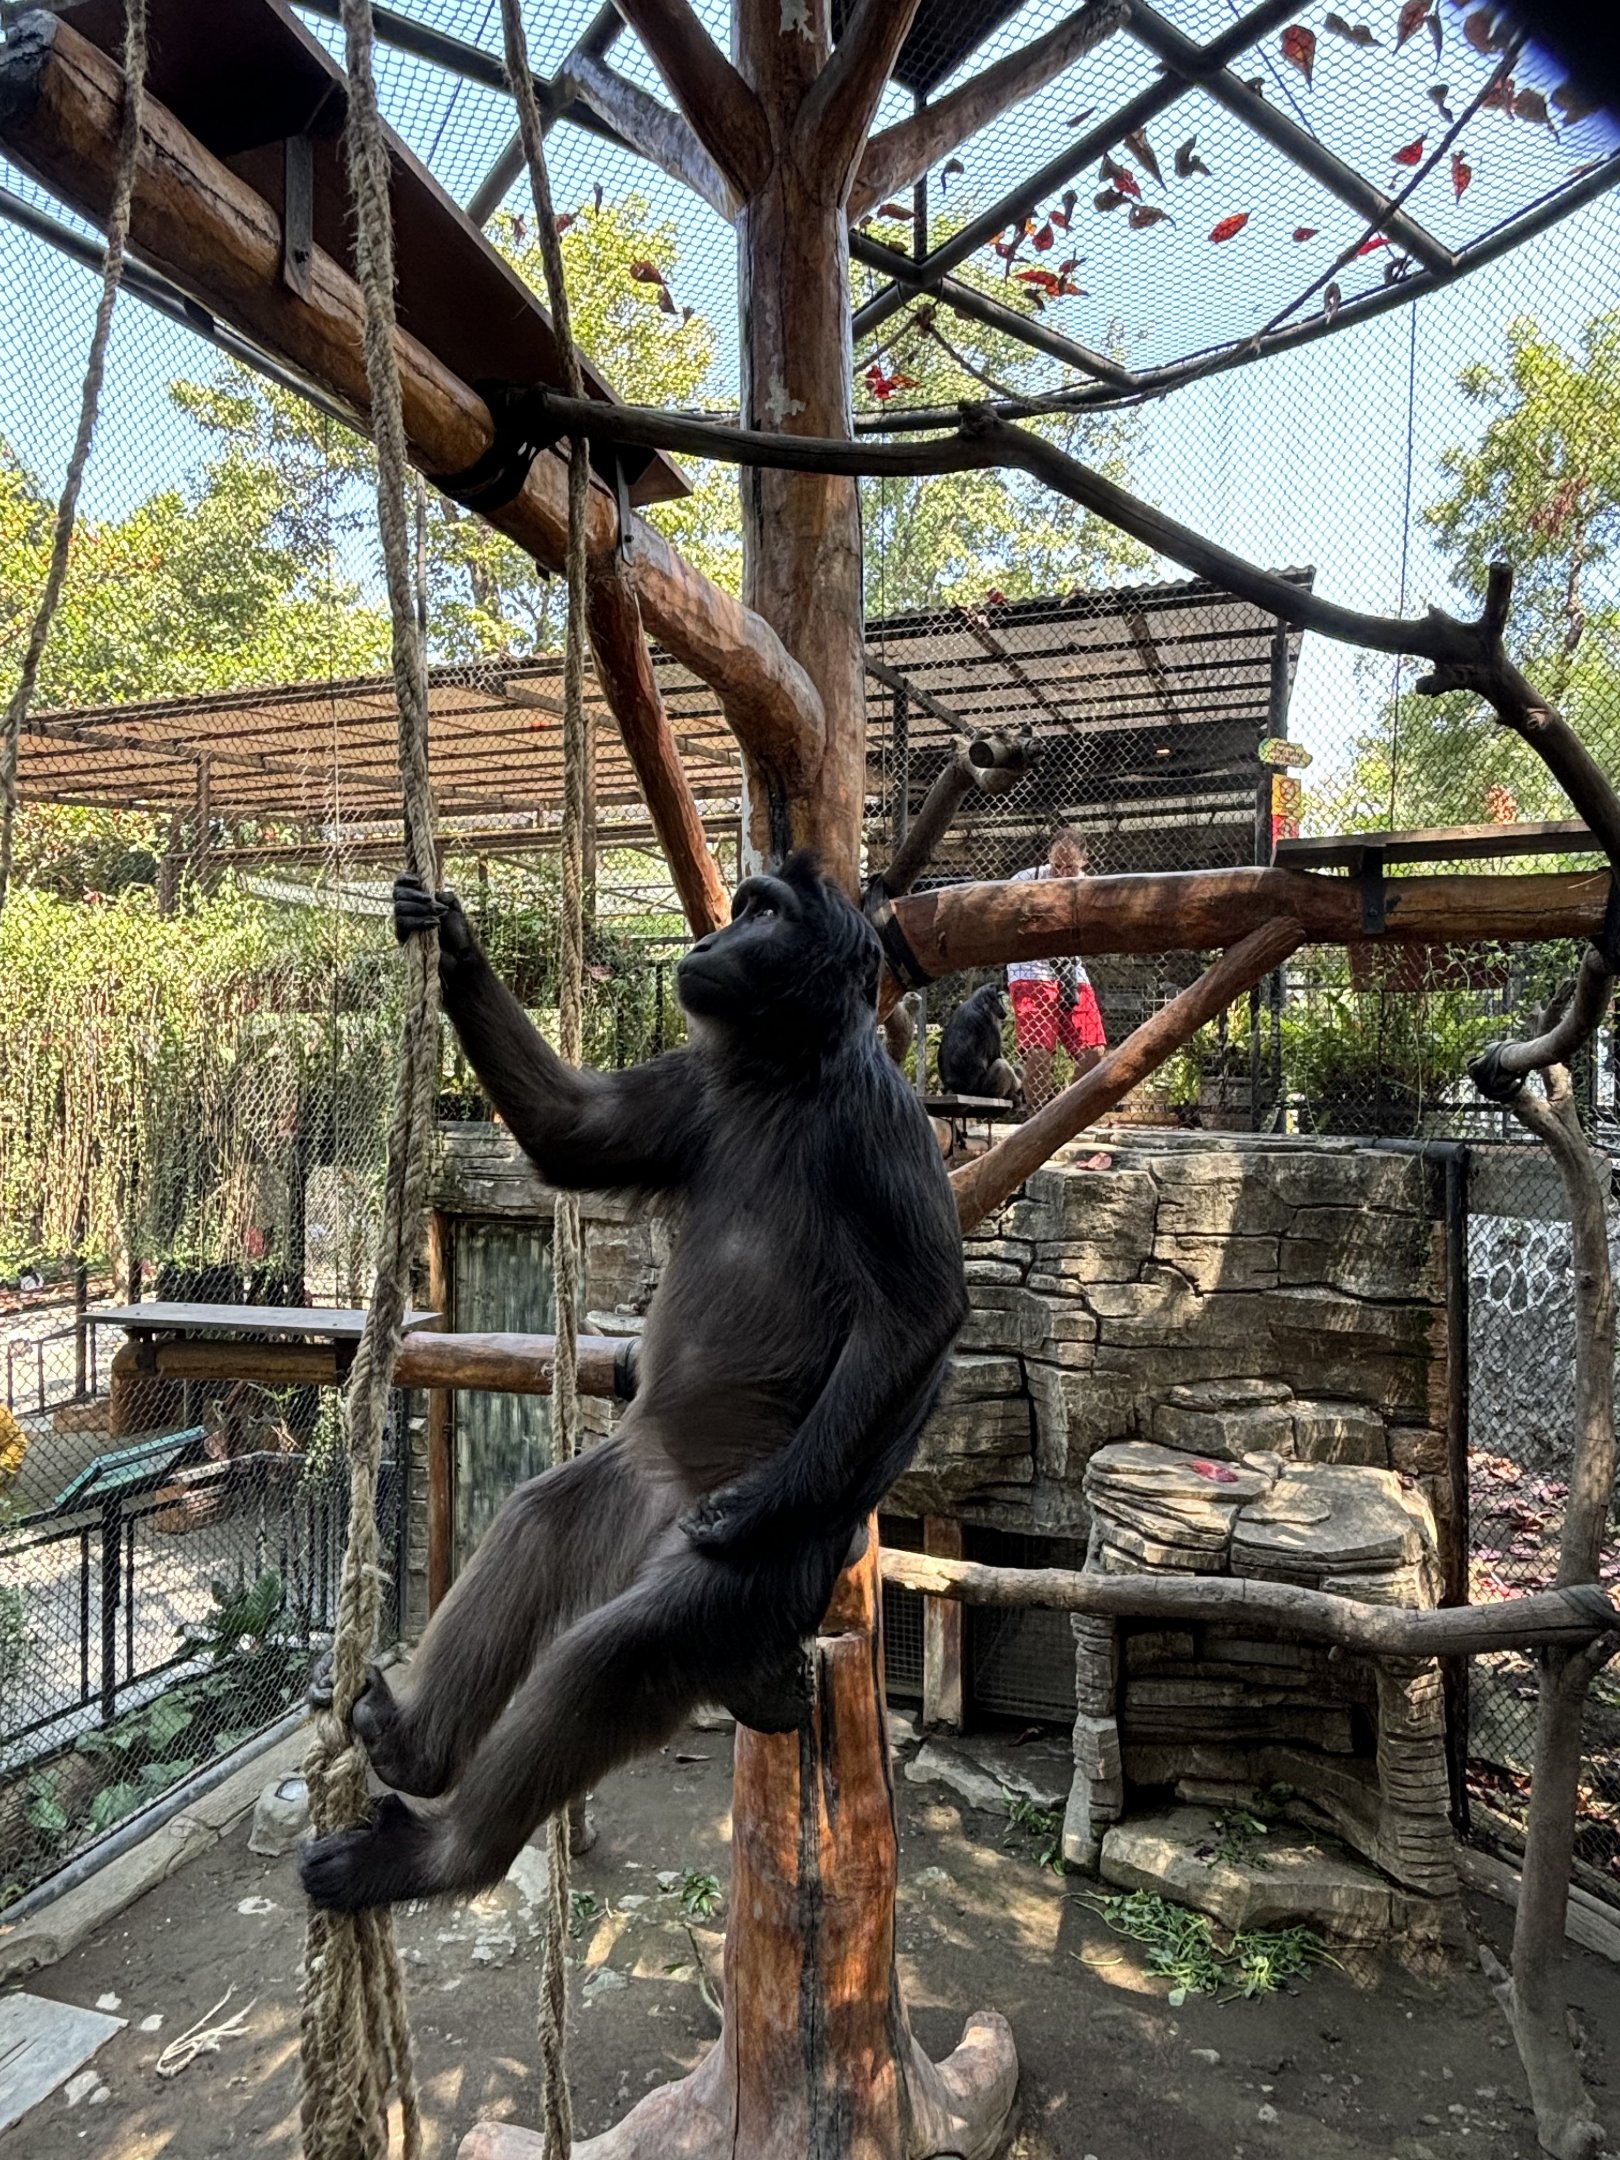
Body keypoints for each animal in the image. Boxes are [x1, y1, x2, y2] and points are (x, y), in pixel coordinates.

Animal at [298, 852, 967, 1913]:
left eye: (764, 918)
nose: (710, 940)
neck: (782, 1077)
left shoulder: (879, 1112)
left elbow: (927, 1310)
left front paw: (755, 1505)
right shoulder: (703, 1084)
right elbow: (577, 1130)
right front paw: (452, 940)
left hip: (770, 1581)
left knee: (627, 1648)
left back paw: (441, 1857)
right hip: (635, 1481)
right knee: (537, 1520)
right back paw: (412, 1750)